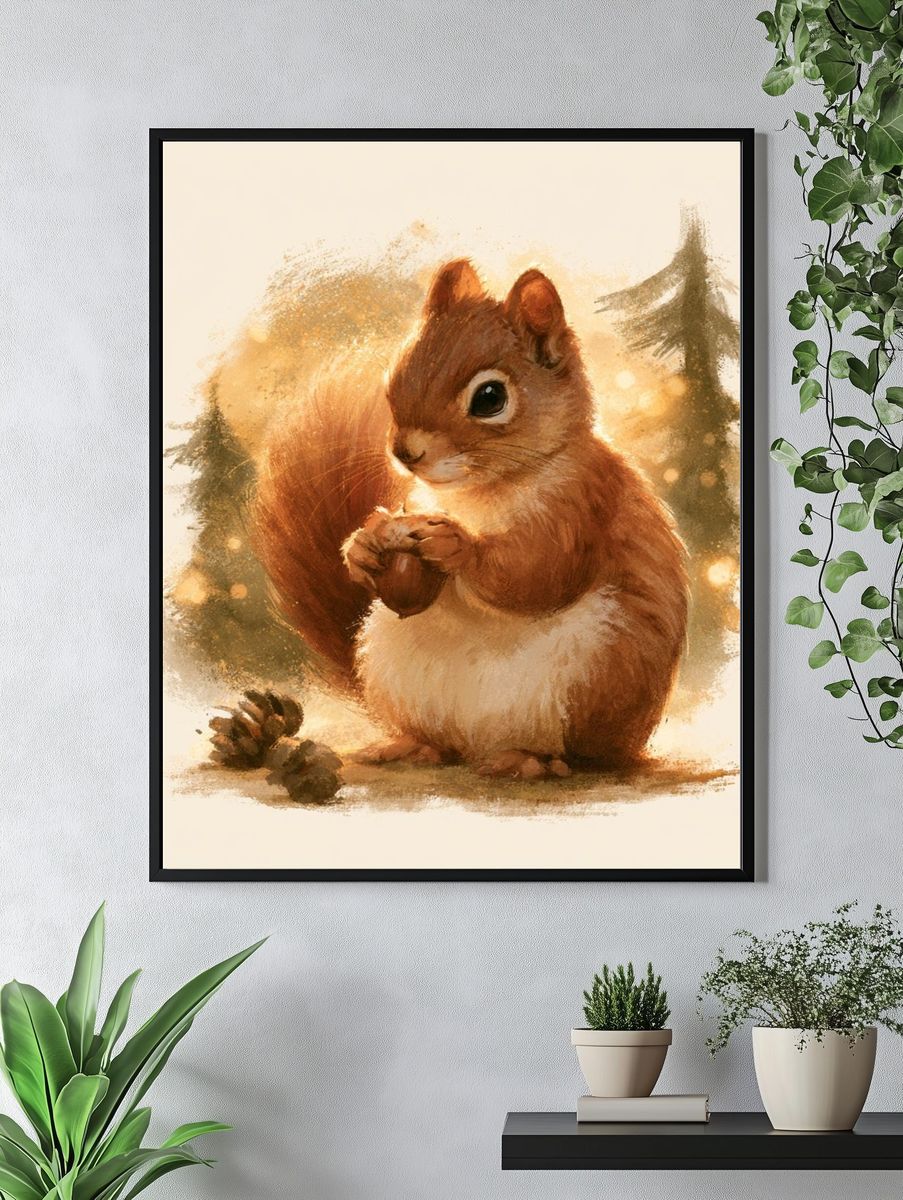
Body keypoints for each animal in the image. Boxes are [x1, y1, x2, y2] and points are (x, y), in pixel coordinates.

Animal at [256, 259, 688, 780]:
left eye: (489, 398)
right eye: (395, 375)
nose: (405, 452)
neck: (478, 492)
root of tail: (483, 741)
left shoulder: (583, 506)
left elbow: (540, 573)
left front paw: (456, 544)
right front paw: (363, 545)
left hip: (602, 671)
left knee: (587, 755)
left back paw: (536, 760)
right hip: (394, 663)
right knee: (442, 740)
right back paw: (414, 746)